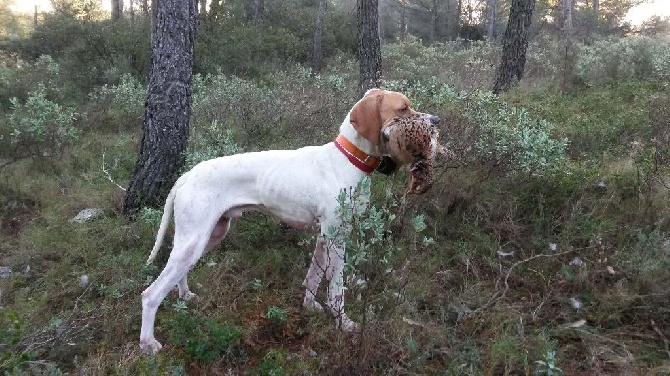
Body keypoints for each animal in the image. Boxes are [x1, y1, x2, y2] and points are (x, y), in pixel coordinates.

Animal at [139, 89, 440, 356]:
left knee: (180, 273)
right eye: (403, 108)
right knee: (151, 294)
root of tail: (188, 174)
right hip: (194, 241)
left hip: (207, 236)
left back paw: (185, 296)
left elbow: (313, 277)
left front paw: (310, 307)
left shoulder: (324, 237)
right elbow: (336, 289)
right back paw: (148, 344)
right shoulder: (337, 238)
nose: (436, 120)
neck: (347, 161)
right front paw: (343, 324)